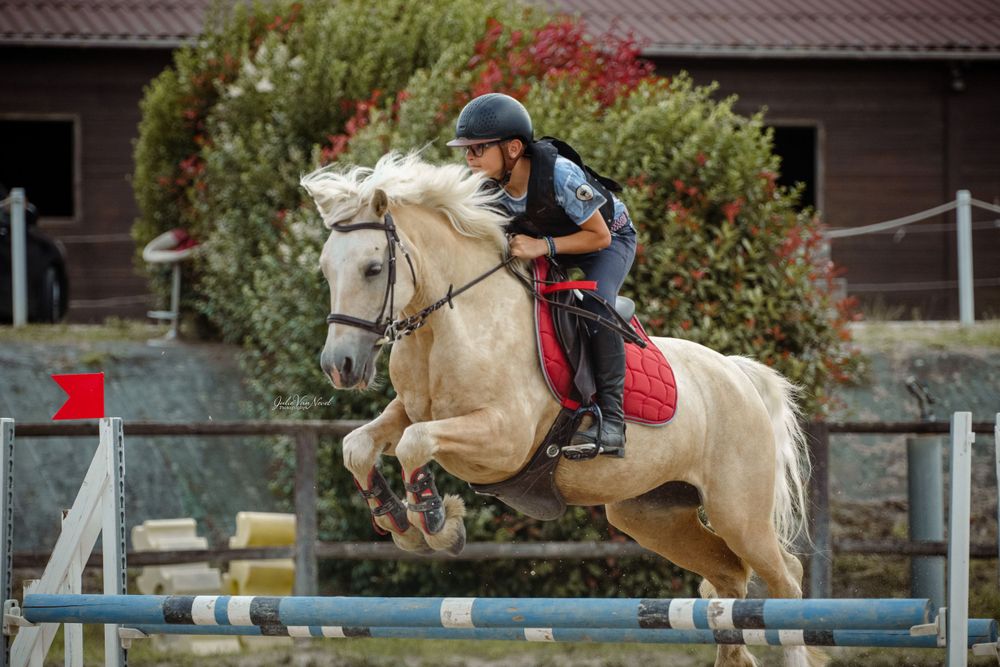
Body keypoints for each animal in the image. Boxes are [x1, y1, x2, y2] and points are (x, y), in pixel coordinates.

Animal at [300, 152, 822, 667]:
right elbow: (359, 445)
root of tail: (738, 374)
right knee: (729, 577)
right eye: (325, 270)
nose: (338, 366)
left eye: (372, 268)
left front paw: (435, 522)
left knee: (785, 578)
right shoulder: (410, 412)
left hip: (739, 513)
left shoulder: (502, 439)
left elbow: (415, 443)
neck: (452, 322)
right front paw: (397, 519)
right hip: (652, 515)